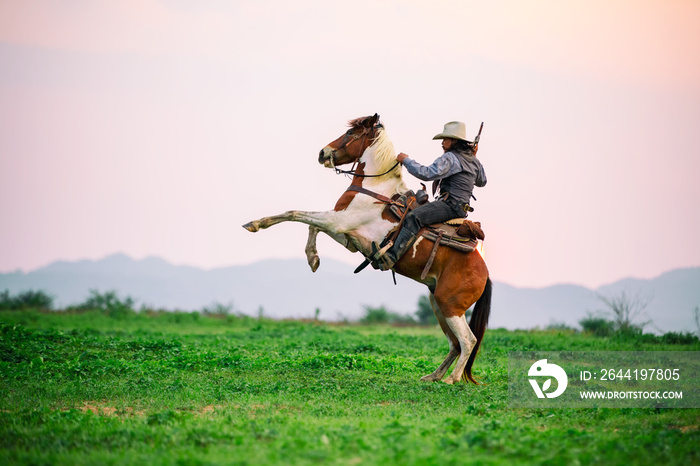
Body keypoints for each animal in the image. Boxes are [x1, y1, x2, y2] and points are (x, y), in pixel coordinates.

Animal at [245, 113, 492, 382]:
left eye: (351, 134)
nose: (323, 153)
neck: (376, 189)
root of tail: (485, 273)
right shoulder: (346, 234)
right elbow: (311, 226)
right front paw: (313, 259)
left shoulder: (337, 221)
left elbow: (296, 214)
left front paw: (256, 223)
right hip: (438, 304)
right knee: (455, 343)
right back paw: (433, 376)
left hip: (450, 305)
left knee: (468, 340)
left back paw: (451, 379)